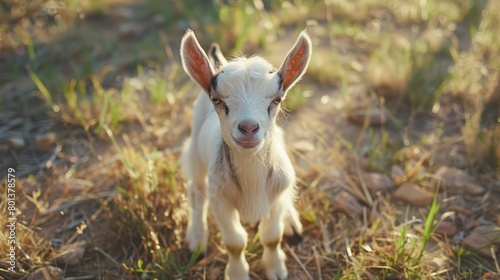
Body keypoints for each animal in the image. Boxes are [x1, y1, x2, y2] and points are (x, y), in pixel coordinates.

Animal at [180, 29, 312, 280]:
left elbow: (272, 236)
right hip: (195, 153)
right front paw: (238, 273)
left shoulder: (276, 194)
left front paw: (275, 269)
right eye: (217, 99)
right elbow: (235, 243)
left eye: (277, 99)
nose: (249, 127)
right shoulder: (220, 200)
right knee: (196, 190)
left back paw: (291, 221)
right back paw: (197, 238)